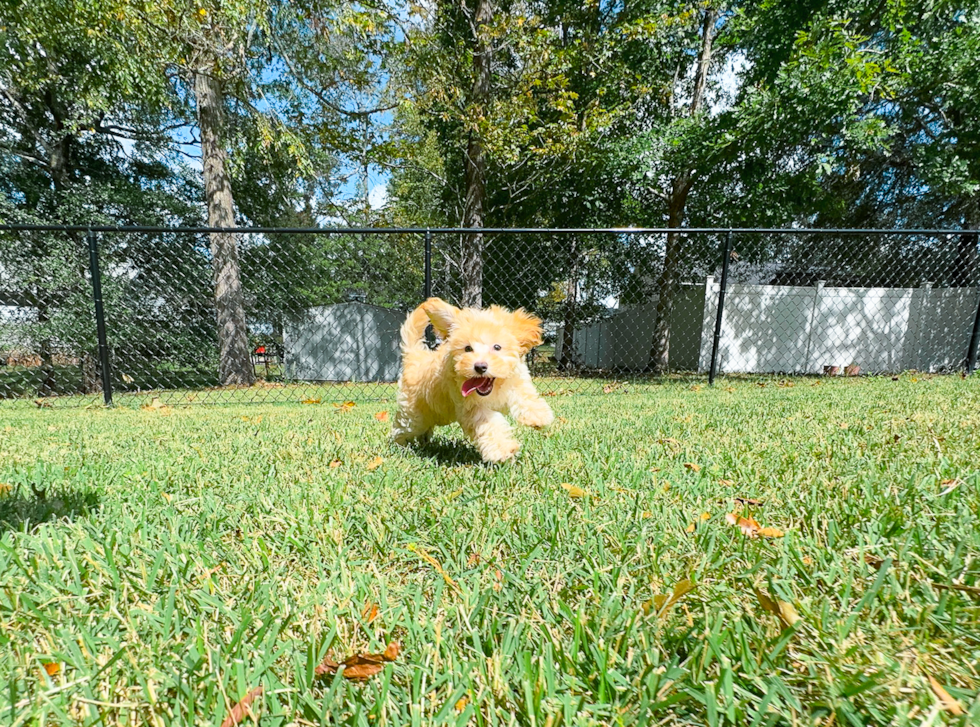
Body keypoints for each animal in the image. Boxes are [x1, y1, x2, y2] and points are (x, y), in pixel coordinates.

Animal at [394, 298, 556, 464]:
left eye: (497, 347)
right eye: (467, 348)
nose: (479, 366)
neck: (494, 388)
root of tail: (415, 356)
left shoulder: (516, 380)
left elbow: (525, 395)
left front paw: (537, 416)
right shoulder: (472, 407)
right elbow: (490, 425)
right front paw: (503, 450)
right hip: (413, 413)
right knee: (404, 426)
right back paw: (400, 446)